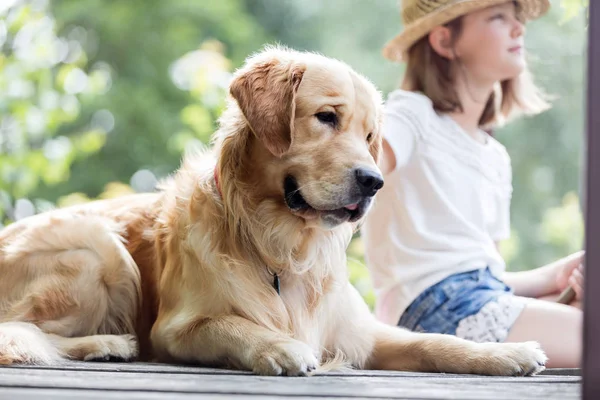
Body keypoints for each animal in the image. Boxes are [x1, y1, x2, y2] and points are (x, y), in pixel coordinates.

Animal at [0, 47, 548, 376]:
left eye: (370, 136)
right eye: (326, 118)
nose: (373, 181)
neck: (282, 246)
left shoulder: (360, 334)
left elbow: (433, 341)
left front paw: (507, 351)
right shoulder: (176, 328)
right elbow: (230, 325)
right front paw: (280, 346)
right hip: (100, 251)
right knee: (23, 329)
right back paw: (107, 342)